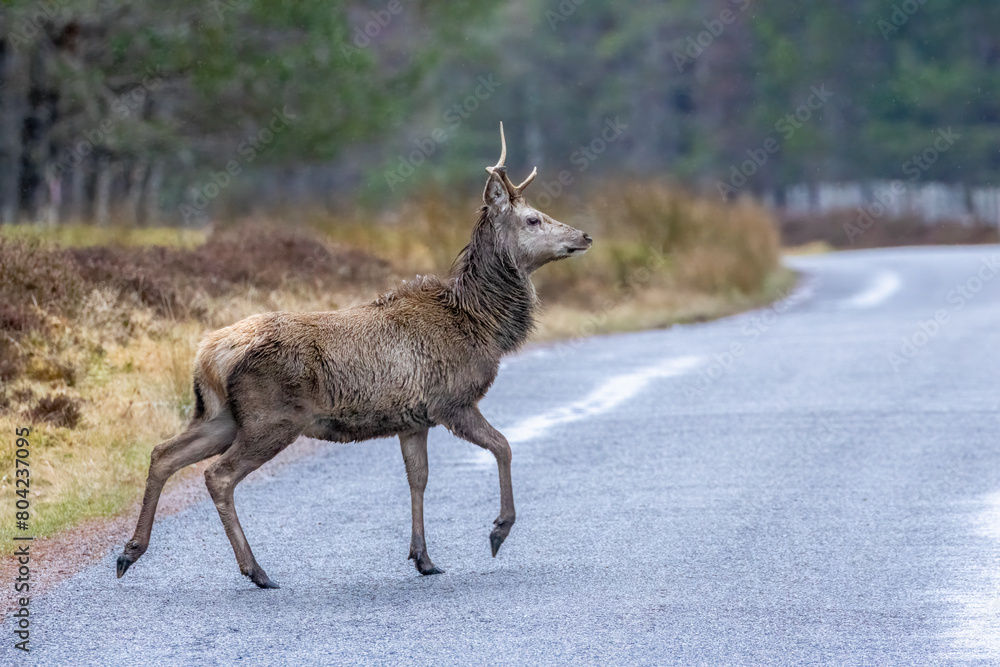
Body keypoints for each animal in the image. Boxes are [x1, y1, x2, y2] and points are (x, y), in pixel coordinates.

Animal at [116, 123, 592, 589]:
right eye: (532, 218)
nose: (584, 235)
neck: (482, 325)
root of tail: (209, 354)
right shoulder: (452, 401)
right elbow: (503, 446)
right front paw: (497, 530)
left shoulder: (413, 419)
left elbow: (418, 478)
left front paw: (423, 558)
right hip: (271, 418)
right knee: (218, 475)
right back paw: (256, 570)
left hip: (219, 415)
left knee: (163, 453)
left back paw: (129, 551)